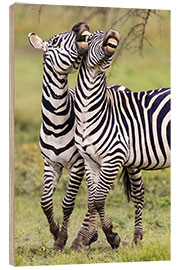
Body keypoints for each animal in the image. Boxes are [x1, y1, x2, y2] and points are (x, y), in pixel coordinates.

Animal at [28, 21, 95, 251]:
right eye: (56, 41)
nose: (81, 25)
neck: (56, 123)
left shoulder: (77, 165)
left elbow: (67, 203)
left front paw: (62, 238)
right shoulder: (51, 165)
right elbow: (45, 202)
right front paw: (55, 233)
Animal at [72, 29, 171, 249]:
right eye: (90, 37)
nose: (113, 32)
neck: (89, 112)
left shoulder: (113, 158)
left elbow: (99, 200)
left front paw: (112, 236)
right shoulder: (90, 161)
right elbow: (92, 200)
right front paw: (83, 239)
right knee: (138, 192)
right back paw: (137, 237)